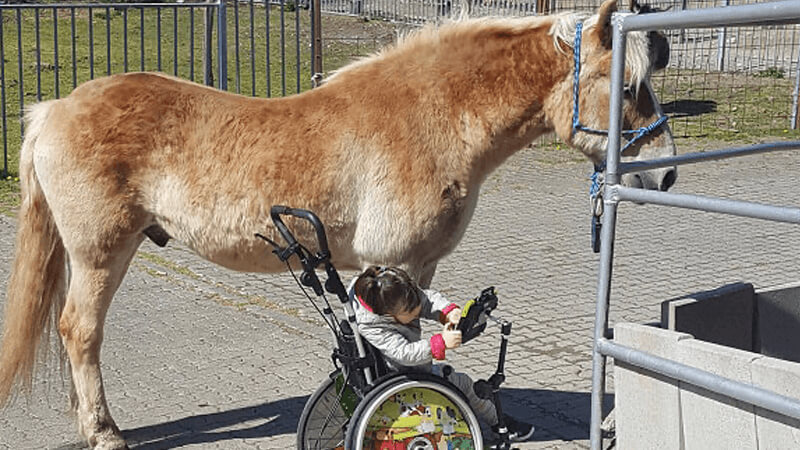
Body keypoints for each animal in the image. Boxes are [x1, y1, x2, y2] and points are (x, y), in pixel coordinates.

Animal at [0, 1, 676, 448]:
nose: (665, 174)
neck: (430, 115)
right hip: (101, 252)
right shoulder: (399, 267)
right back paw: (104, 431)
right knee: (79, 331)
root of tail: (54, 107)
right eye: (628, 88)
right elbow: (407, 354)